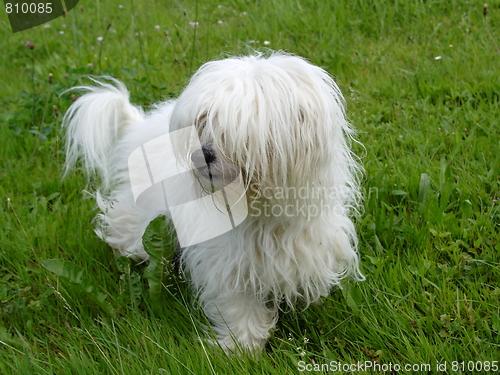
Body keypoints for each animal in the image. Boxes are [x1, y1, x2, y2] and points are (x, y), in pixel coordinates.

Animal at [64, 51, 366, 354]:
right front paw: (241, 348)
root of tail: (139, 128)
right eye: (202, 121)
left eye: (239, 132)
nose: (201, 155)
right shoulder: (227, 263)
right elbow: (239, 305)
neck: (261, 210)